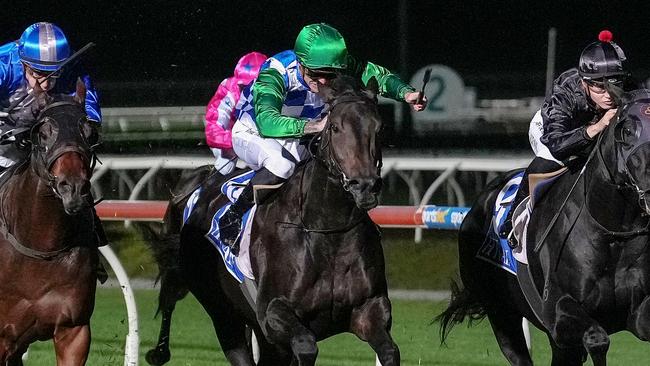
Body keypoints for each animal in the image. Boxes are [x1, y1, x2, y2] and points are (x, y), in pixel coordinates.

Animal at [176, 75, 394, 366]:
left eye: (379, 128)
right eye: (335, 127)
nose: (366, 186)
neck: (327, 232)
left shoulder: (370, 308)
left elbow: (389, 351)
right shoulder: (272, 312)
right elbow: (305, 345)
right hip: (222, 312)